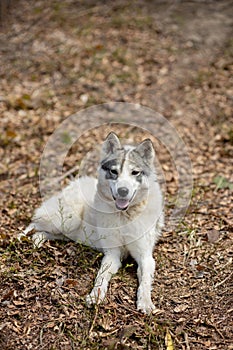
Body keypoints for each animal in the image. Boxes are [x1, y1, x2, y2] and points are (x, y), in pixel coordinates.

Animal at [21, 133, 164, 314]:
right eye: (114, 171)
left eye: (135, 172)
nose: (123, 191)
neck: (124, 216)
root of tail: (74, 182)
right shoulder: (112, 255)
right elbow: (101, 277)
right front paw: (95, 295)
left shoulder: (145, 257)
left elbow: (144, 282)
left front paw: (145, 302)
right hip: (67, 220)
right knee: (34, 223)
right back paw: (20, 238)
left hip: (67, 232)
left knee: (42, 232)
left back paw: (37, 241)